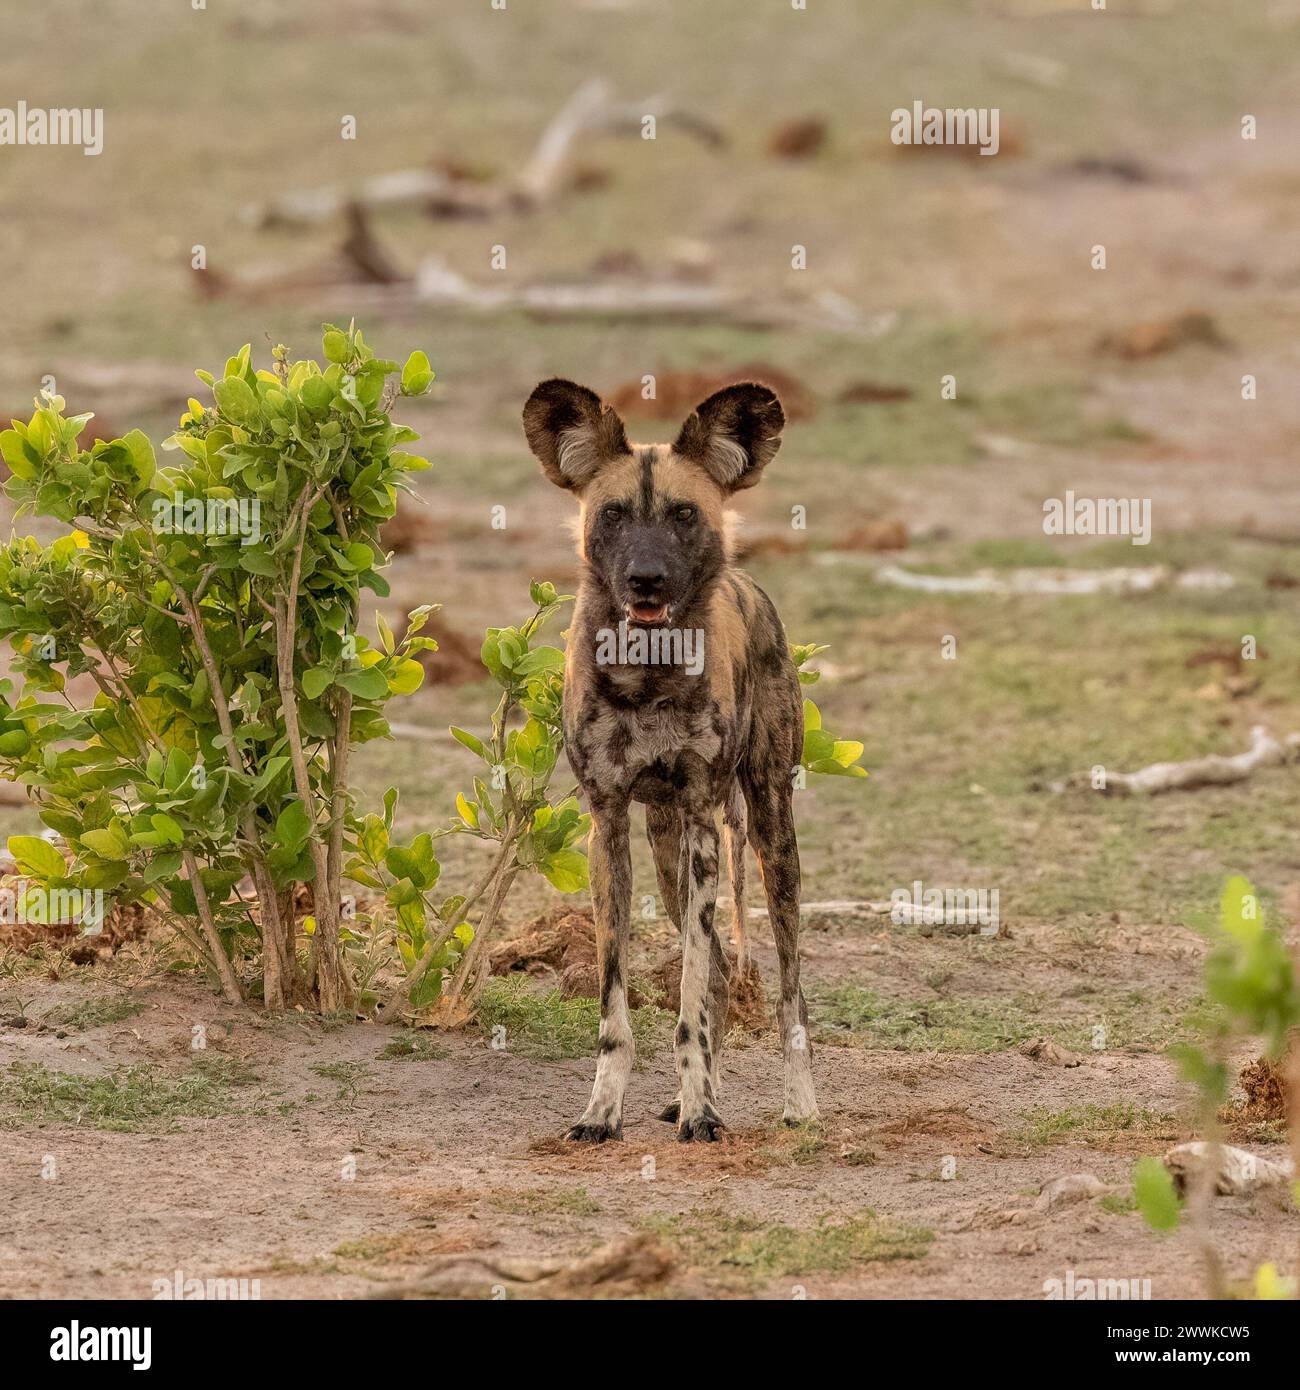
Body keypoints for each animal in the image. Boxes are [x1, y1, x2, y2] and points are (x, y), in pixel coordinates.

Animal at [522, 380, 817, 1139]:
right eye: (614, 514)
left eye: (684, 515)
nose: (646, 579)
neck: (646, 675)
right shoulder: (608, 826)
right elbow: (619, 1008)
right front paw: (604, 1109)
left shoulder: (704, 819)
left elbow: (688, 1001)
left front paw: (702, 1109)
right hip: (664, 843)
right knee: (717, 973)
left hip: (770, 832)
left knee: (786, 987)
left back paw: (797, 1102)